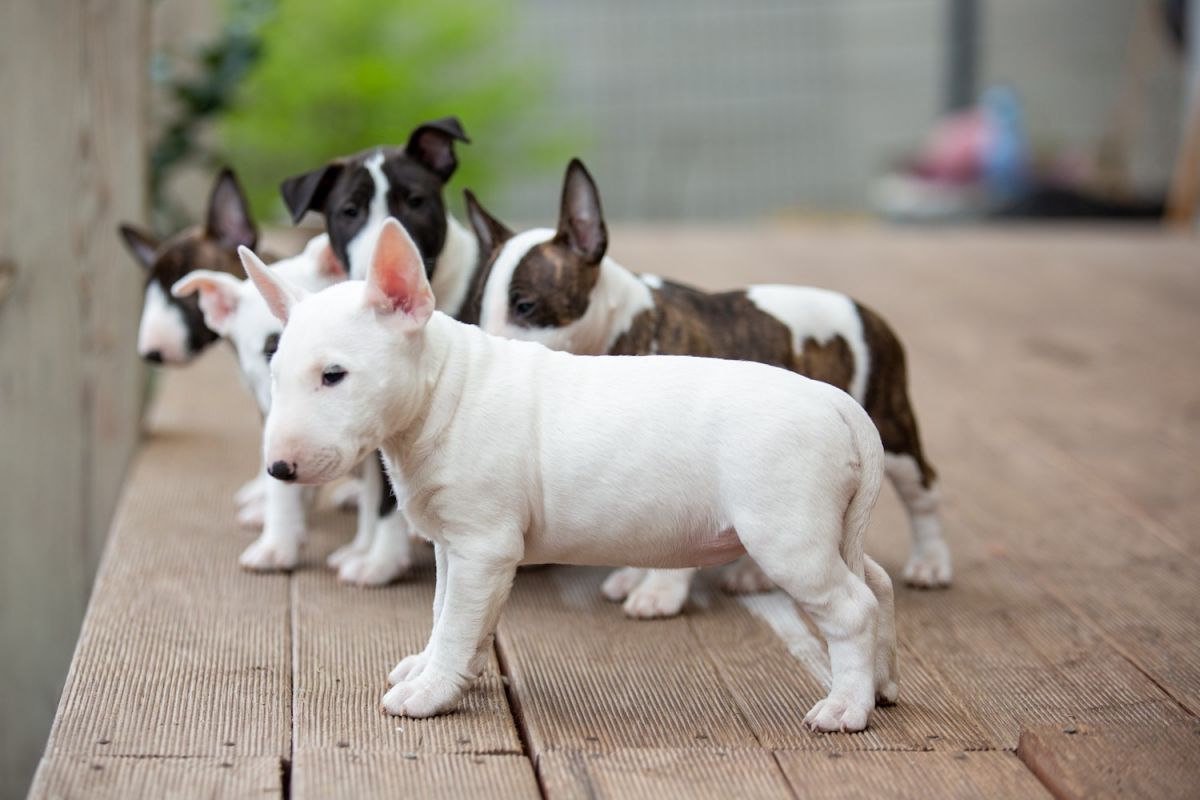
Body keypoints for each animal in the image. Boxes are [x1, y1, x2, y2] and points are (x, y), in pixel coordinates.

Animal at [238, 218, 898, 732]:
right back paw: (880, 686)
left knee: (853, 608)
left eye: (334, 375)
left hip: (786, 536)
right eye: (276, 372)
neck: (446, 390)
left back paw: (845, 708)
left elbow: (455, 623)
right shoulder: (456, 548)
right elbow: (449, 614)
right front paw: (441, 671)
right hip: (829, 529)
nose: (279, 469)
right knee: (879, 583)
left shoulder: (485, 546)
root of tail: (837, 403)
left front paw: (430, 692)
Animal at [464, 159, 951, 620]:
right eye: (477, 311)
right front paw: (636, 575)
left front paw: (660, 593)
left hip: (890, 425)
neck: (625, 328)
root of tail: (865, 310)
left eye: (526, 306)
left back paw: (930, 562)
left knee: (923, 491)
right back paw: (754, 572)